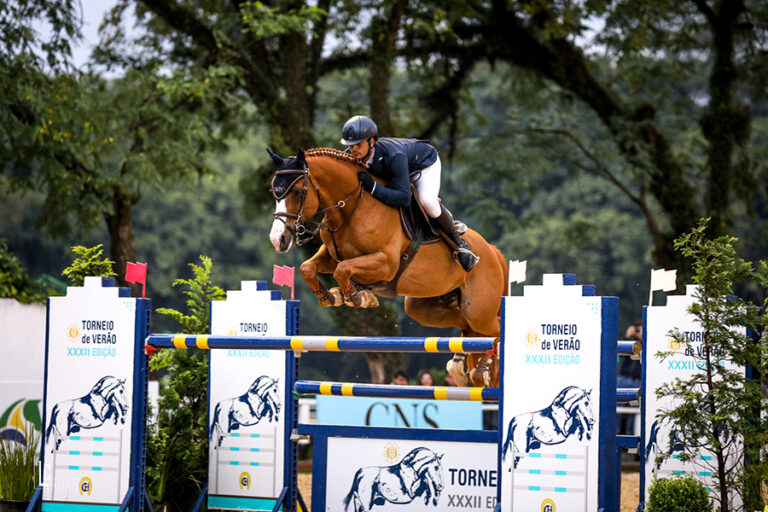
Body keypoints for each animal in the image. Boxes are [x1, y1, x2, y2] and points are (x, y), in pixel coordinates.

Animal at [268, 147, 508, 384]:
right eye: (274, 192)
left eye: (298, 191)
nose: (277, 240)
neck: (354, 206)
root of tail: (493, 251)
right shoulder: (331, 255)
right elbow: (308, 268)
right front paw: (333, 296)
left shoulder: (385, 263)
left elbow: (343, 270)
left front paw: (356, 297)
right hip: (426, 308)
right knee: (468, 327)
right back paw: (464, 367)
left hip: (478, 310)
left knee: (494, 328)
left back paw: (486, 368)